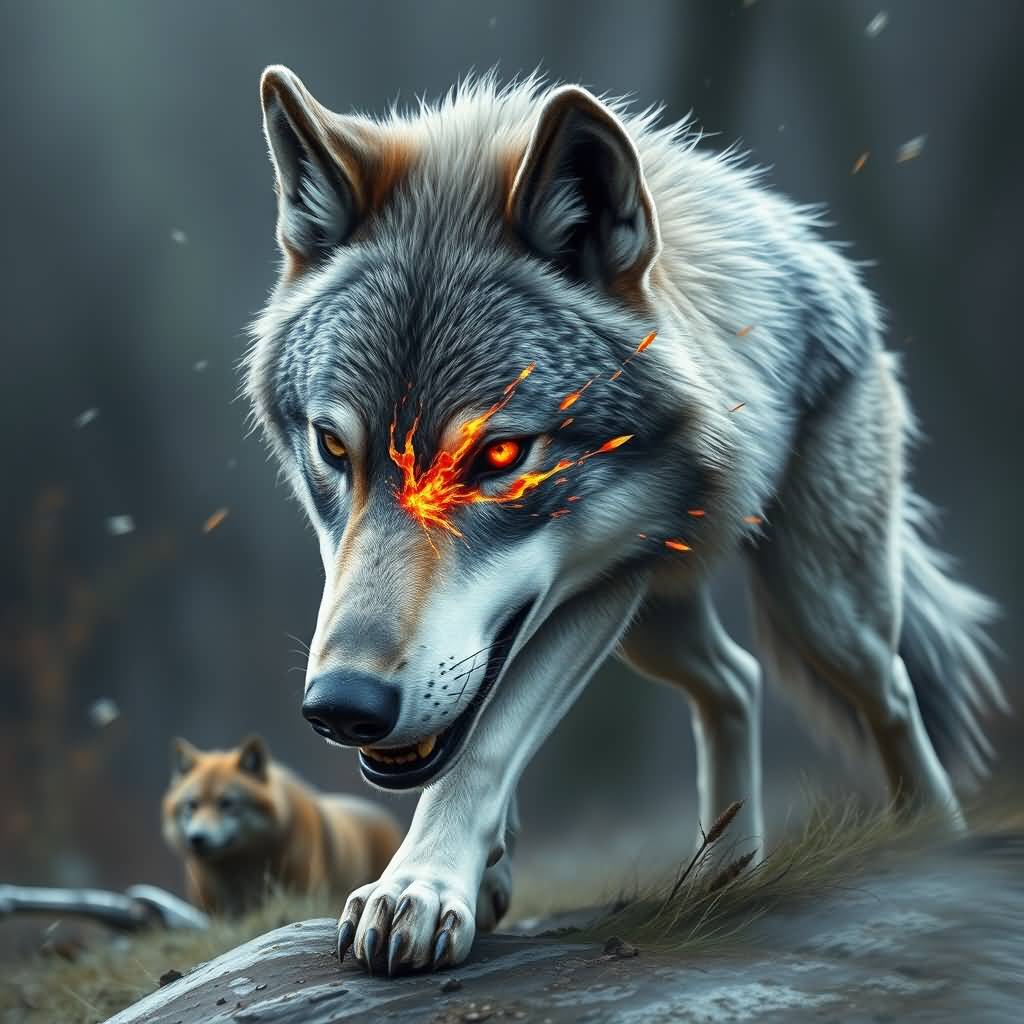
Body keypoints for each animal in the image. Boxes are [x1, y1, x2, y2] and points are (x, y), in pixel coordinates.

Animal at [244, 66, 1006, 973]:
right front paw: (476, 871)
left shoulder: (605, 584)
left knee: (888, 689)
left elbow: (490, 739)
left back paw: (931, 840)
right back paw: (725, 873)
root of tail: (797, 234)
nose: (342, 706)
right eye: (333, 447)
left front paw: (418, 888)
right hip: (660, 628)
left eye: (500, 455)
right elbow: (477, 722)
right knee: (737, 680)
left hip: (817, 607)